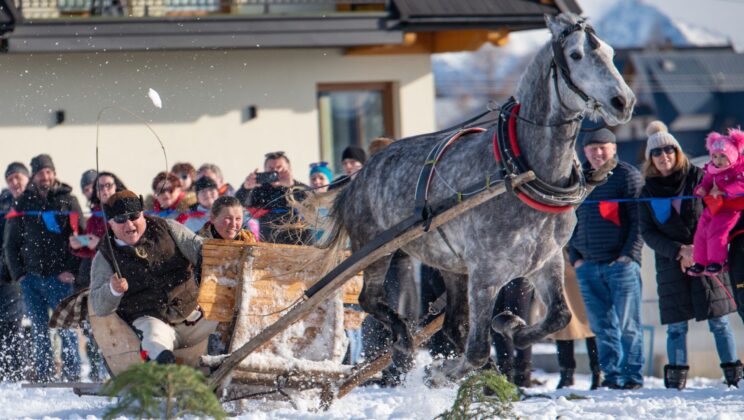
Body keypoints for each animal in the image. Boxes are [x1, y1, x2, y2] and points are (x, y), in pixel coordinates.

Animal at [320, 13, 632, 382]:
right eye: (576, 55)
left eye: (611, 52)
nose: (623, 102)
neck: (522, 173)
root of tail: (360, 175)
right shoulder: (485, 273)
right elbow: (478, 349)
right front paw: (443, 371)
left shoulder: (548, 261)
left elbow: (558, 316)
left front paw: (509, 324)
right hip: (377, 249)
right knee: (371, 299)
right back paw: (403, 336)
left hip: (452, 266)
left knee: (452, 324)